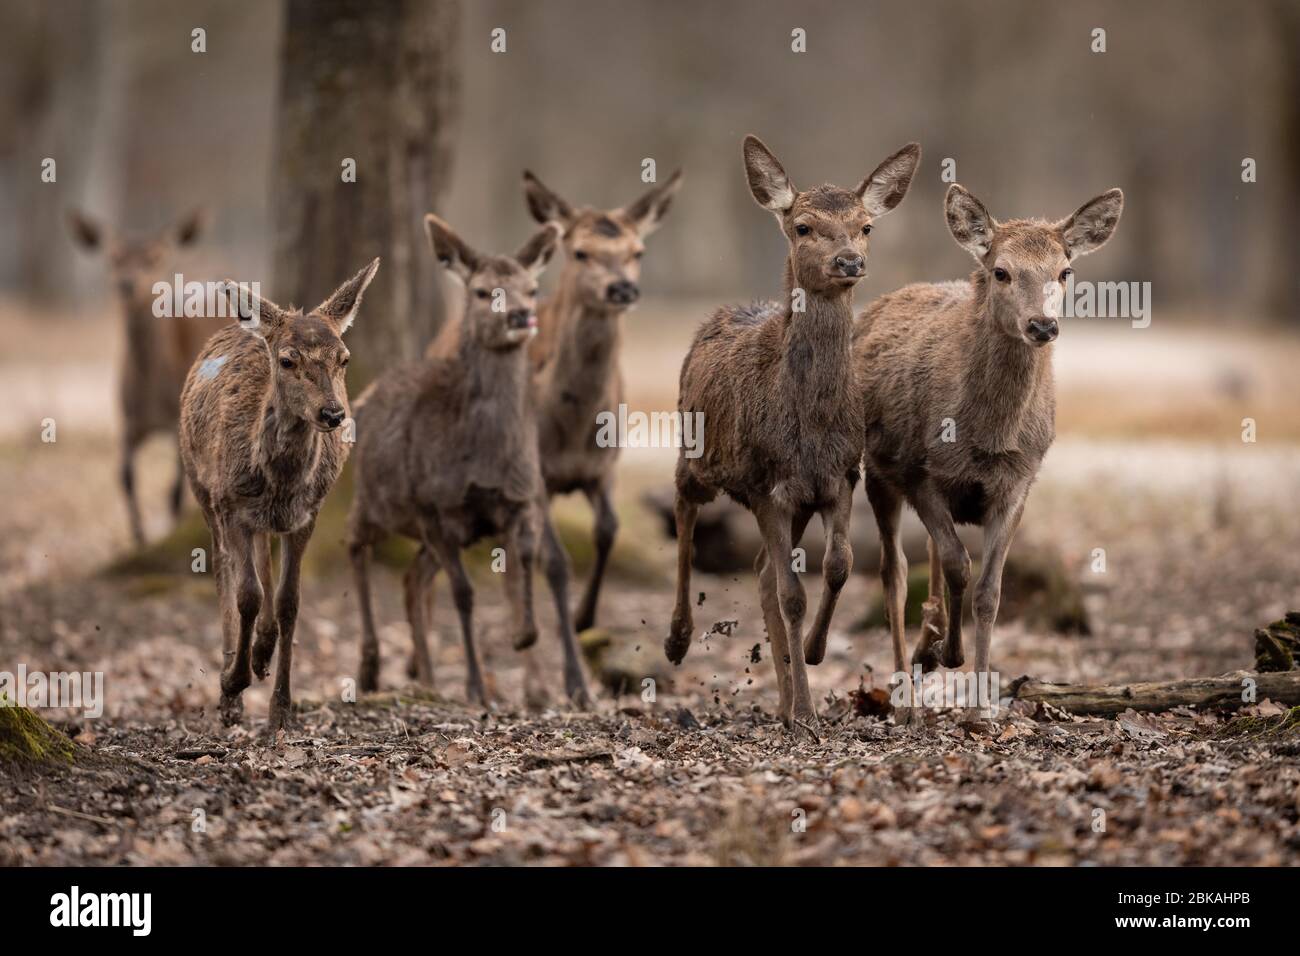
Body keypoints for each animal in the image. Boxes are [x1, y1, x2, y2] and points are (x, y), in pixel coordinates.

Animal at [67, 209, 214, 545]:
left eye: (154, 257)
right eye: (113, 256)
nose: (127, 283)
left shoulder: (179, 422)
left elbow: (174, 490)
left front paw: (170, 528)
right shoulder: (127, 418)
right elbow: (124, 476)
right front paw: (139, 536)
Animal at [179, 258, 380, 732]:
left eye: (344, 358)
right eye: (287, 360)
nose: (333, 413)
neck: (279, 481)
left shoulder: (307, 513)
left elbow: (290, 602)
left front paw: (283, 708)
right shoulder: (229, 503)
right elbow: (246, 594)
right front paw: (232, 685)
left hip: (264, 517)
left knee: (262, 555)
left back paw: (262, 654)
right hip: (201, 487)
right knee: (223, 568)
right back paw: (232, 680)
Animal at [347, 216, 566, 706]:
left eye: (531, 288)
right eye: (483, 291)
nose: (521, 316)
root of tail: (363, 396)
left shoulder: (521, 498)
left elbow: (524, 564)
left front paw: (523, 636)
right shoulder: (434, 506)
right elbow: (464, 594)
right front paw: (475, 687)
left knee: (412, 580)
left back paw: (426, 680)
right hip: (376, 501)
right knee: (355, 547)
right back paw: (370, 667)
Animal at [666, 135, 921, 736]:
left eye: (865, 226)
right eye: (803, 226)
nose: (849, 260)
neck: (810, 427)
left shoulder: (838, 479)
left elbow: (837, 567)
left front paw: (813, 654)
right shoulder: (768, 486)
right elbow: (792, 594)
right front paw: (806, 709)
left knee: (760, 571)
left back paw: (780, 700)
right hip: (693, 451)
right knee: (685, 514)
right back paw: (679, 638)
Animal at [853, 183, 1123, 726]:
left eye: (1065, 271)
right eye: (1002, 271)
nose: (1042, 325)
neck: (988, 439)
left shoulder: (1020, 480)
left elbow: (990, 591)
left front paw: (980, 704)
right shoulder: (920, 474)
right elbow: (959, 564)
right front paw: (951, 656)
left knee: (924, 560)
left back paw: (927, 645)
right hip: (876, 470)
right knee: (894, 573)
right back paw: (904, 693)